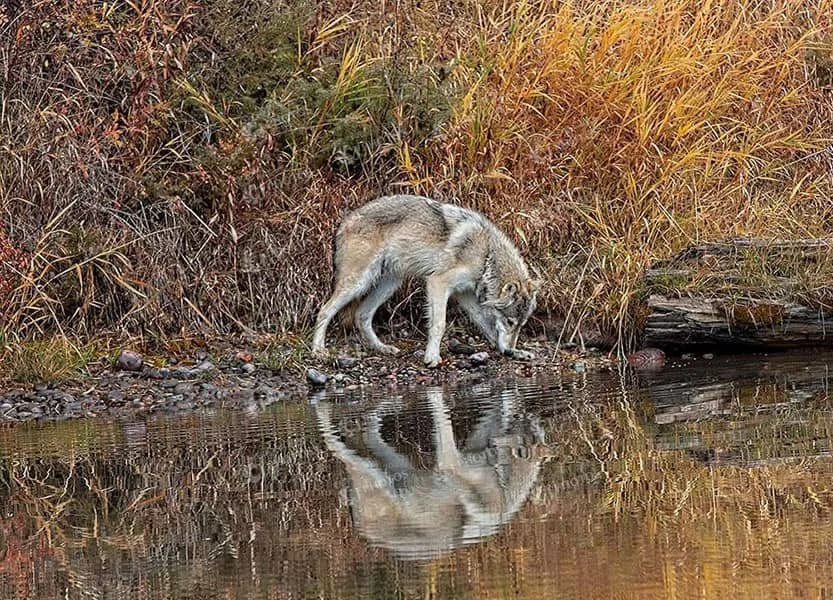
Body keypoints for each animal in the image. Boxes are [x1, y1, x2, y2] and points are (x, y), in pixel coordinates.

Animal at [311, 195, 541, 367]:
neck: (487, 255)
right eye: (510, 322)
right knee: (325, 310)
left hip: (390, 284)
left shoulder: (464, 295)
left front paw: (516, 352)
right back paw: (318, 350)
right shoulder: (438, 282)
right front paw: (431, 357)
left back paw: (382, 348)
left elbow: (487, 327)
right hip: (359, 282)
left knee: (361, 315)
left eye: (521, 325)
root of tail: (344, 221)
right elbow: (439, 324)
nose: (509, 351)